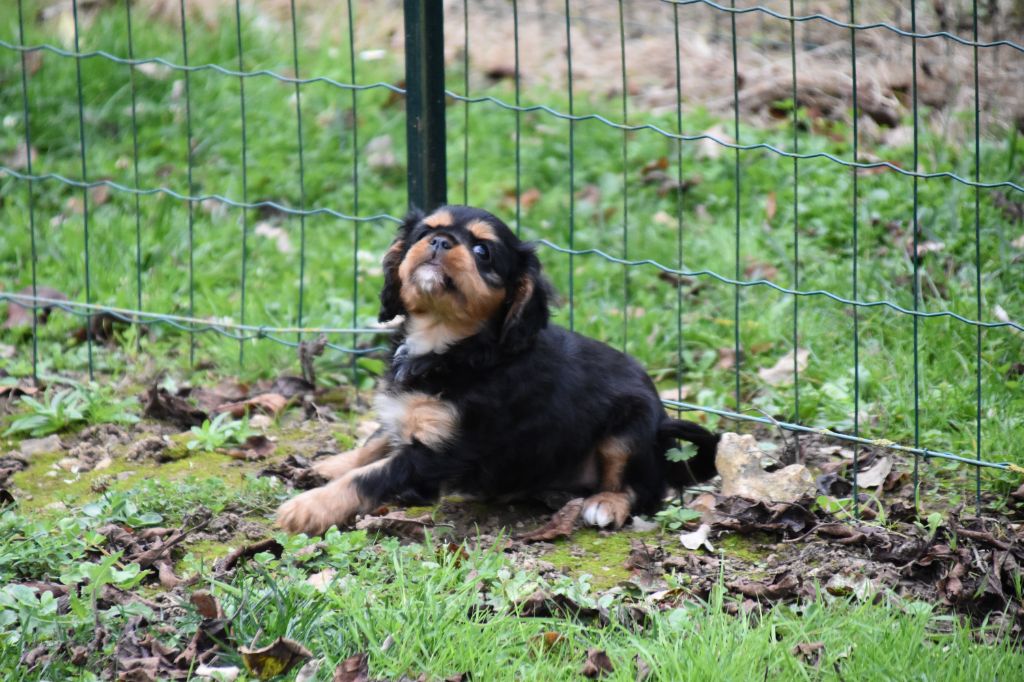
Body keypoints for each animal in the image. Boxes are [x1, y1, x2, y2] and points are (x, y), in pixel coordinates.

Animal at [276, 204, 716, 532]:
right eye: (423, 233)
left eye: (482, 252)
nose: (440, 241)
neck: (449, 346)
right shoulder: (412, 420)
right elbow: (377, 441)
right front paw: (327, 466)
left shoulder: (440, 454)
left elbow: (373, 474)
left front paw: (308, 507)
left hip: (629, 428)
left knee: (644, 491)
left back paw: (605, 504)